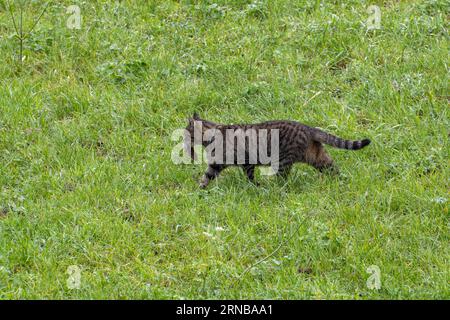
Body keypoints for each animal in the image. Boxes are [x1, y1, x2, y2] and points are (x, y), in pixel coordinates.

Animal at [185, 113, 370, 189]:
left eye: (187, 133)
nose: (183, 140)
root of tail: (308, 128)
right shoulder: (220, 164)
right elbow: (207, 175)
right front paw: (200, 189)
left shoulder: (244, 161)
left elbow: (249, 177)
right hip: (317, 157)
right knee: (333, 167)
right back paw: (342, 181)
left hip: (283, 161)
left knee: (283, 180)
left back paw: (275, 189)